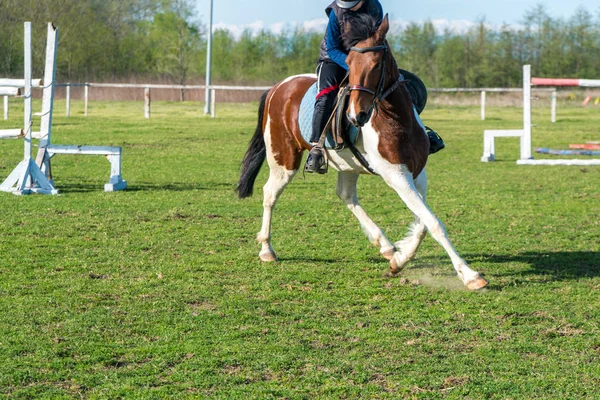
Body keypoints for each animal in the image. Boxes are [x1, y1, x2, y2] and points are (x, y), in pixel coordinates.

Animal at [234, 13, 488, 290]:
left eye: (376, 65)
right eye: (349, 64)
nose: (356, 116)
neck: (397, 119)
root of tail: (278, 87)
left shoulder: (418, 174)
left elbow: (423, 222)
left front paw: (400, 258)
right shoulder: (397, 176)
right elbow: (433, 223)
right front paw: (469, 275)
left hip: (347, 164)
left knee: (346, 196)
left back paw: (386, 246)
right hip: (284, 159)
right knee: (270, 193)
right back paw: (266, 250)